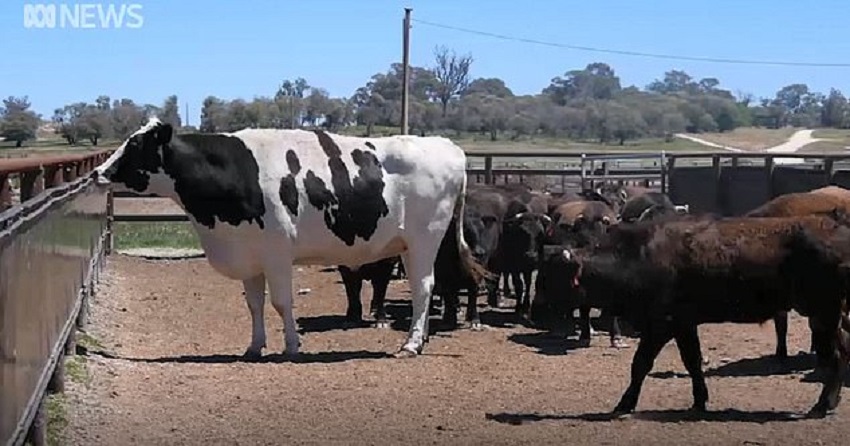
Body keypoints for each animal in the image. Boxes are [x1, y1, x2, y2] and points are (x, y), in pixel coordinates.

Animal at [93, 117, 486, 358]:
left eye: (136, 145)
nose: (98, 171)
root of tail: (448, 147)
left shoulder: (277, 253)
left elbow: (282, 303)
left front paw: (293, 346)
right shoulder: (250, 254)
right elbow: (253, 304)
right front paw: (254, 347)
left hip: (424, 240)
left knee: (423, 287)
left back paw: (411, 344)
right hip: (420, 244)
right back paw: (422, 338)